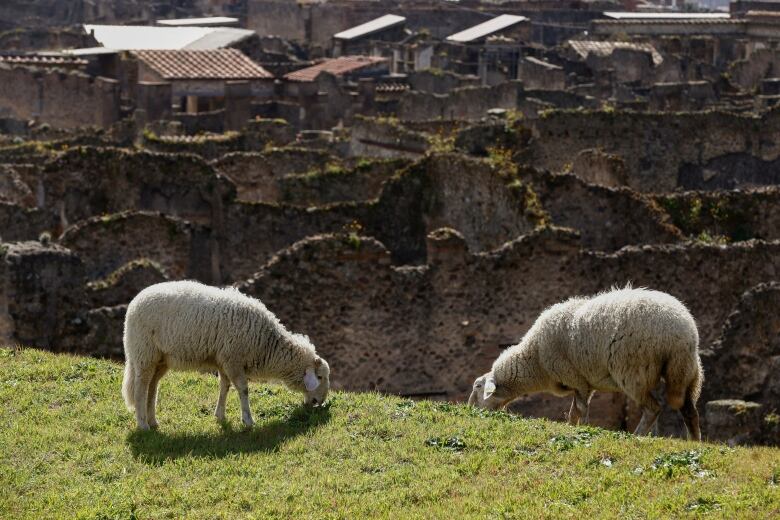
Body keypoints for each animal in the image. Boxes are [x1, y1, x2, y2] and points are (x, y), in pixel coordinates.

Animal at [120, 280, 330, 430]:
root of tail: (134, 303)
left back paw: (153, 422)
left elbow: (224, 387)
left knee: (152, 388)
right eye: (319, 377)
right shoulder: (233, 359)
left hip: (160, 360)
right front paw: (248, 420)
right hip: (144, 353)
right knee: (140, 389)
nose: (320, 403)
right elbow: (243, 389)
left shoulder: (223, 361)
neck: (266, 344)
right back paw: (143, 425)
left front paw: (220, 415)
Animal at [470, 286, 708, 440]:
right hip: (685, 371)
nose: (470, 409)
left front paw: (579, 429)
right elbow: (575, 410)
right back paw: (694, 442)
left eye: (478, 386)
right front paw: (571, 426)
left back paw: (638, 435)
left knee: (653, 408)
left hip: (634, 370)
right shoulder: (583, 382)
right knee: (689, 411)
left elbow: (581, 410)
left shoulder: (576, 378)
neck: (535, 359)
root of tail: (682, 332)